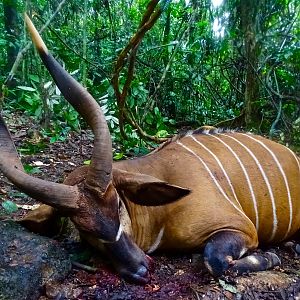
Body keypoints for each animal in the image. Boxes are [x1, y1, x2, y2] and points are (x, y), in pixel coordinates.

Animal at [0, 14, 300, 284]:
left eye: (118, 204)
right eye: (81, 226)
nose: (140, 269)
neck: (159, 214)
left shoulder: (243, 228)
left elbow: (214, 260)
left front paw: (272, 257)